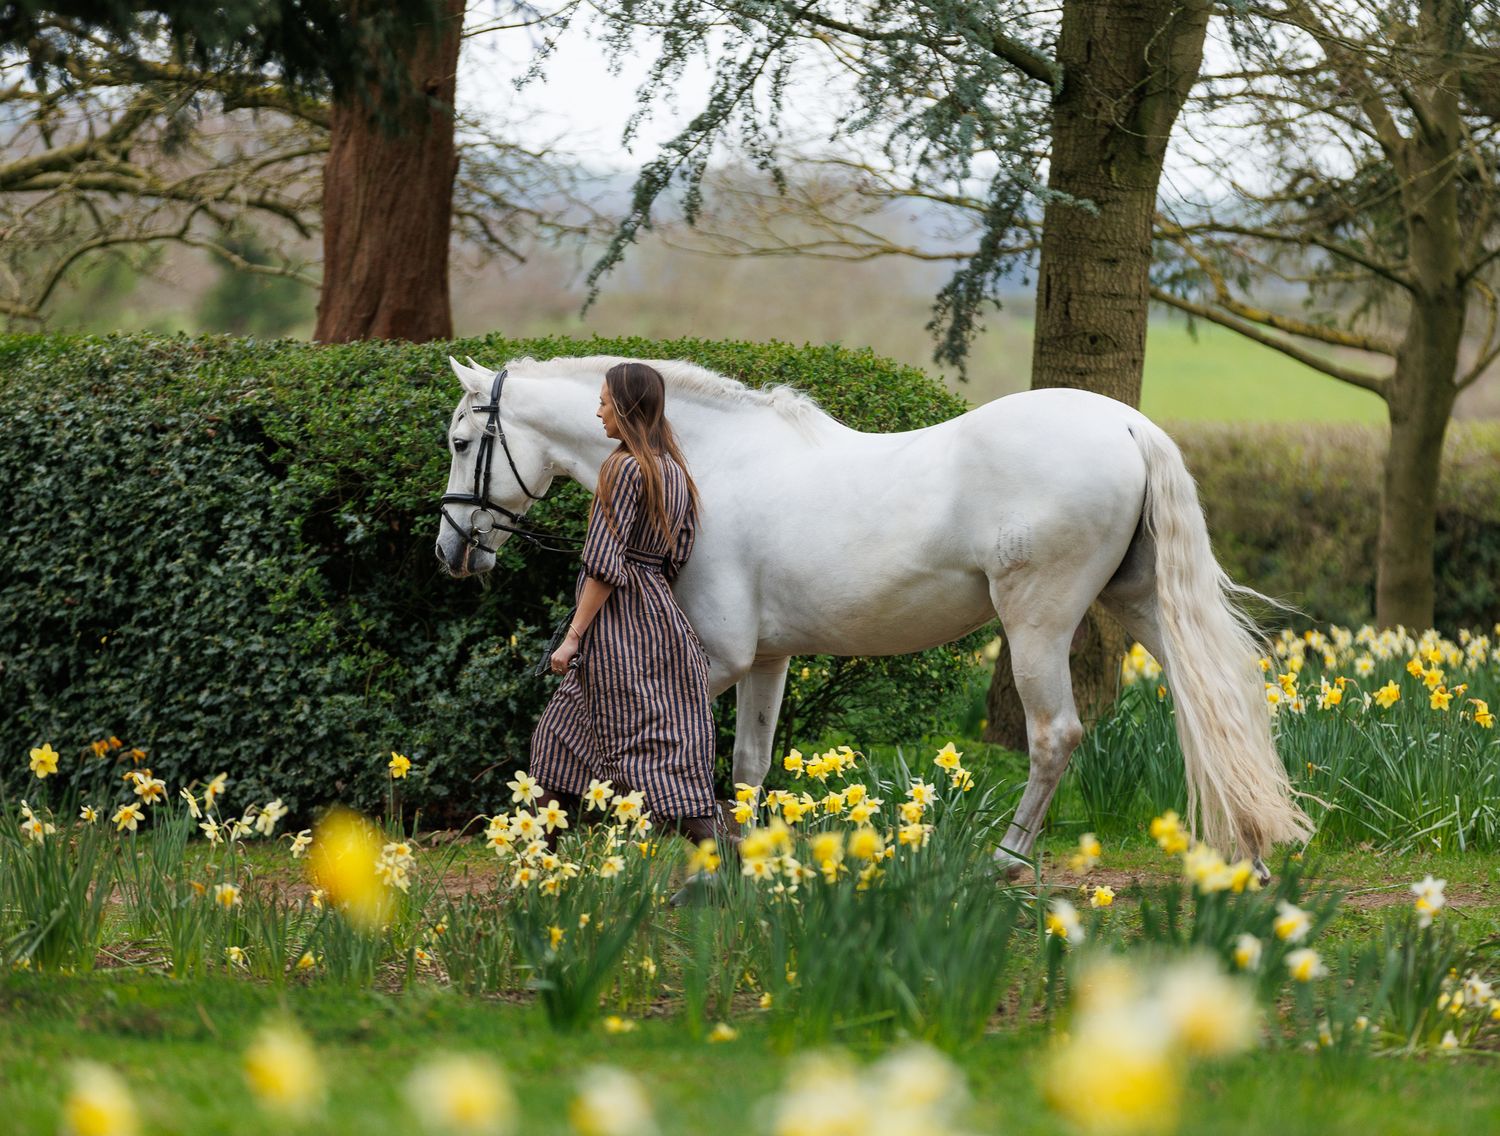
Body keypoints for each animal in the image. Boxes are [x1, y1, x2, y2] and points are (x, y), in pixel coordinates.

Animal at [434, 354, 1312, 878]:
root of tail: (1128, 424)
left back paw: (1006, 860)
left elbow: (611, 732)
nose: (451, 551)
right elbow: (748, 762)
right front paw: (749, 857)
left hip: (1037, 624)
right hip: (1142, 605)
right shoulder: (765, 659)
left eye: (461, 440)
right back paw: (1251, 852)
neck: (702, 464)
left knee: (1055, 737)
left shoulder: (713, 654)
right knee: (1217, 706)